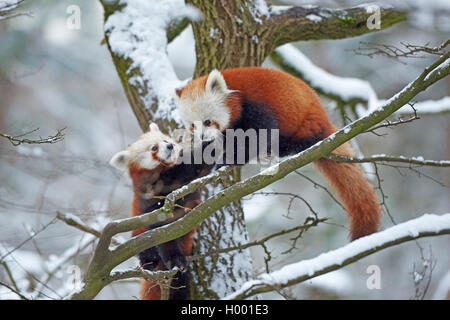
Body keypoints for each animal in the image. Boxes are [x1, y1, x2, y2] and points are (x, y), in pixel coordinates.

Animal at [110, 122, 210, 300]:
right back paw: (161, 260)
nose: (170, 146)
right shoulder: (152, 191)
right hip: (141, 236)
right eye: (154, 148)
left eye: (165, 140)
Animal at [174, 67, 382, 240]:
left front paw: (230, 160)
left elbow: (259, 134)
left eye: (208, 121)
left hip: (307, 122)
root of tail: (325, 121)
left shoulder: (256, 107)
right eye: (192, 125)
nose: (202, 136)